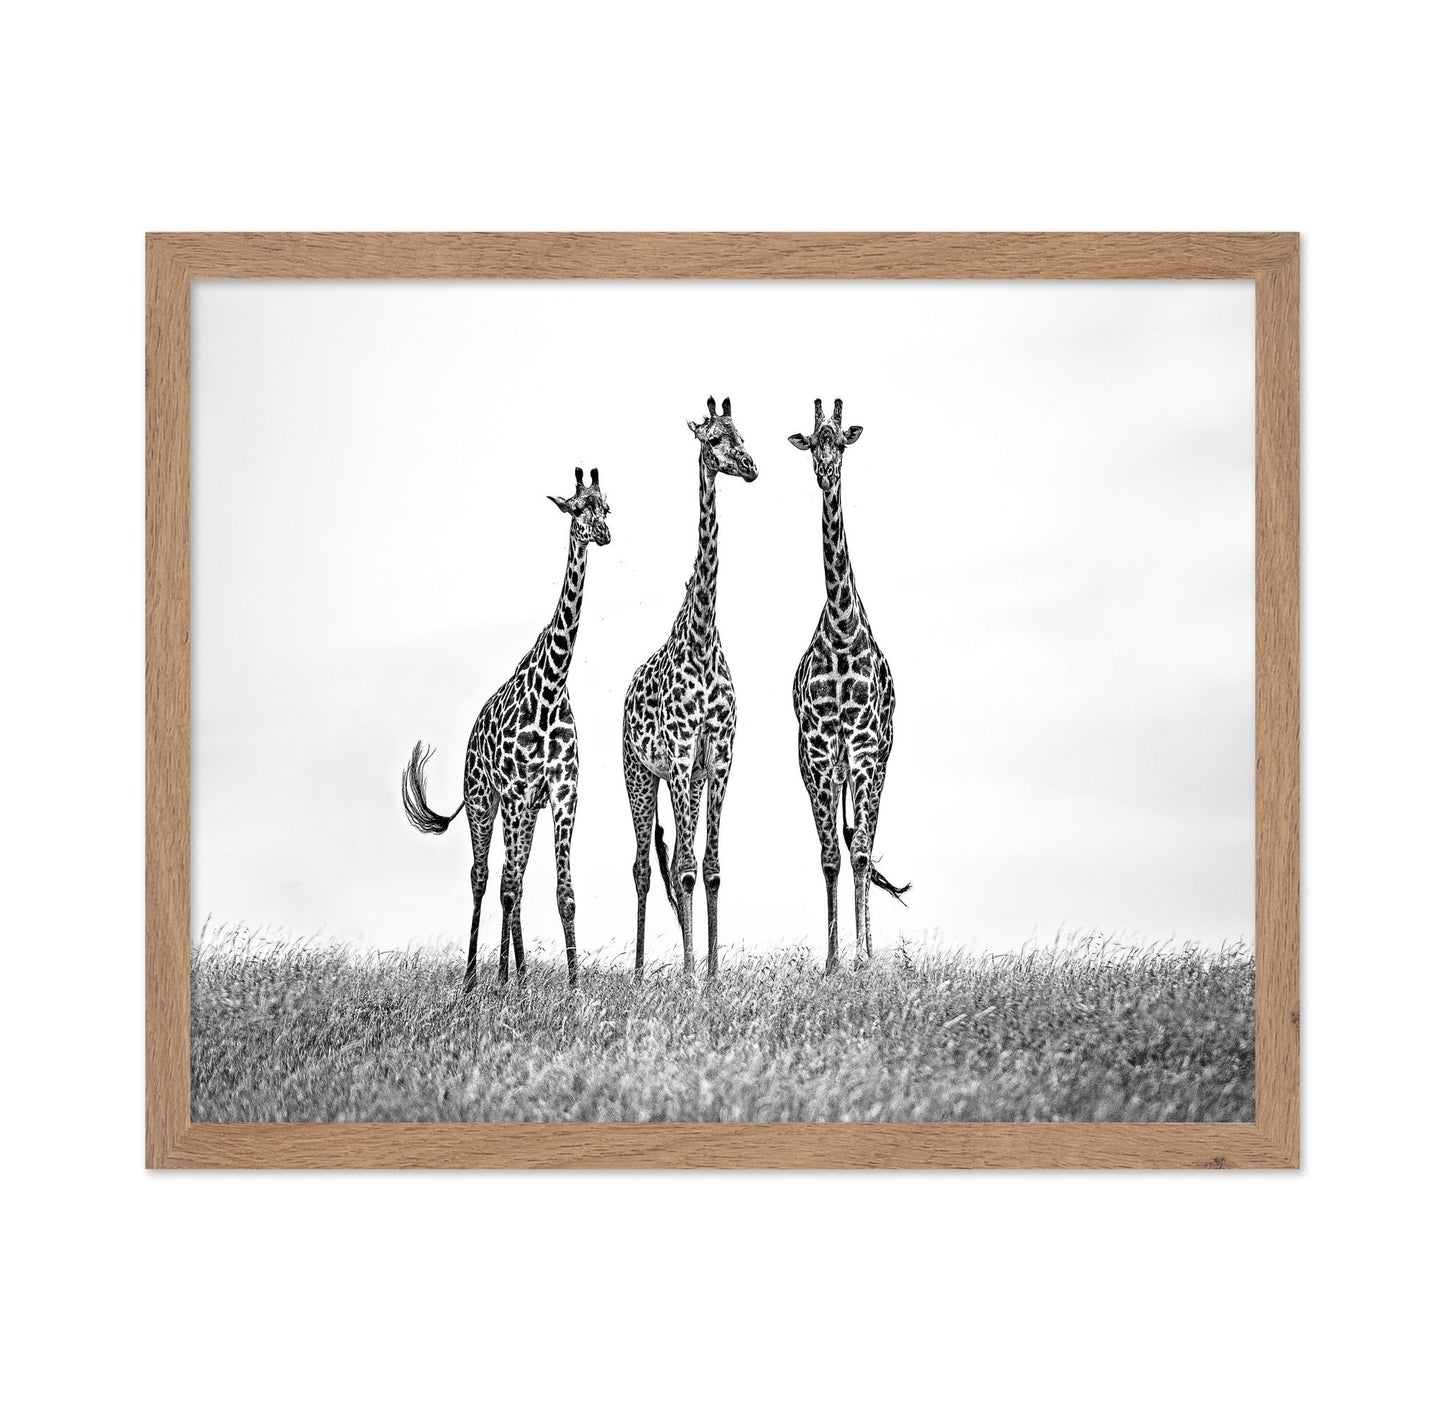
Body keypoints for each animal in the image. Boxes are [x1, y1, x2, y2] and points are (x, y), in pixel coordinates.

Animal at [401, 467, 611, 991]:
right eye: (578, 508)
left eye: (606, 507)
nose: (603, 534)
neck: (553, 686)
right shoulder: (515, 793)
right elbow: (506, 886)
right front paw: (498, 983)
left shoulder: (562, 792)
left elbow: (563, 890)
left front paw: (574, 986)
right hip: (483, 801)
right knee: (483, 877)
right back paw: (476, 978)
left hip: (525, 810)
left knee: (513, 877)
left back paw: (519, 972)